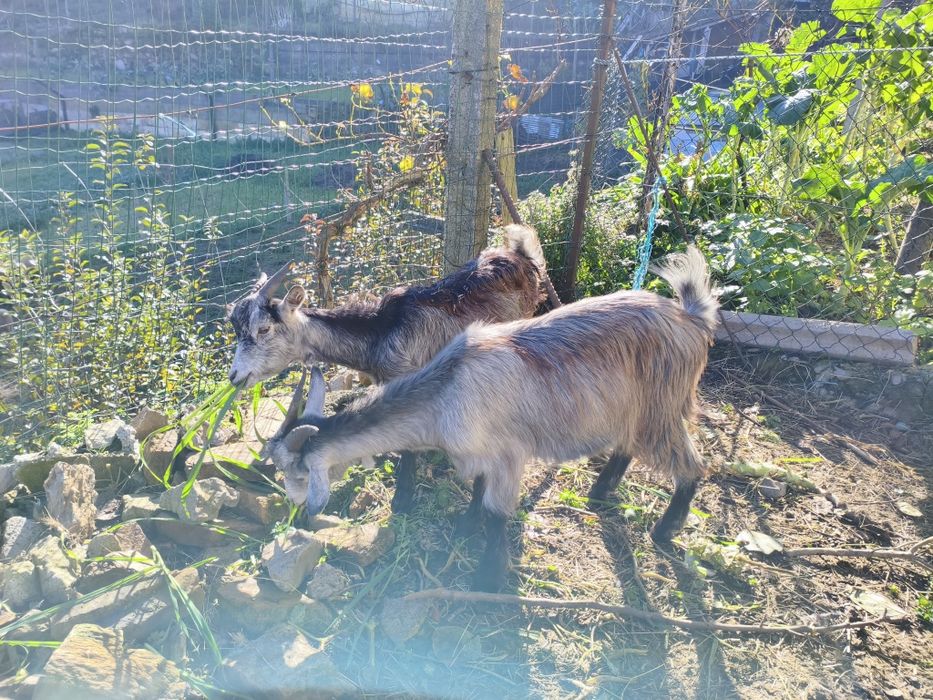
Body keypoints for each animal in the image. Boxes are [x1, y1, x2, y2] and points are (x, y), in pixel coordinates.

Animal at [267, 246, 719, 591]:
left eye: (298, 472)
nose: (294, 509)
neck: (445, 395)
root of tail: (691, 317)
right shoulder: (478, 453)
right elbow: (477, 491)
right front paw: (466, 525)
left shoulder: (508, 456)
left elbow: (496, 513)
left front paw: (487, 579)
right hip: (632, 408)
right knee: (627, 445)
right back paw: (600, 492)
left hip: (662, 406)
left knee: (692, 466)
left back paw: (665, 529)